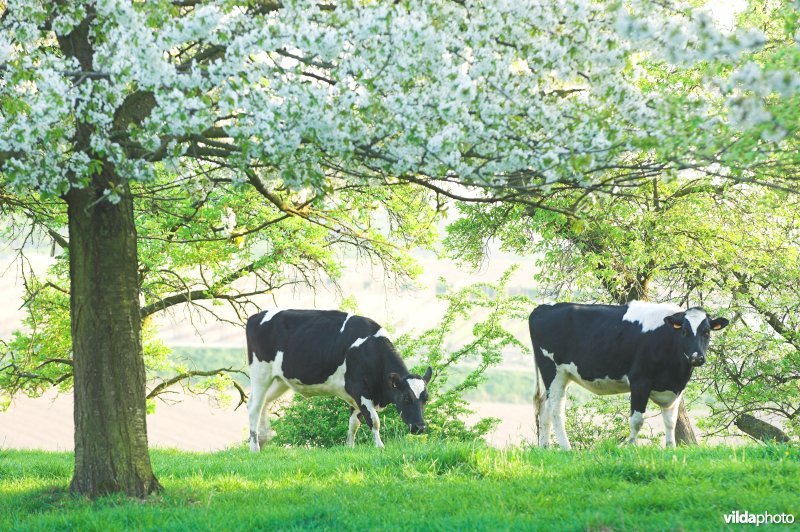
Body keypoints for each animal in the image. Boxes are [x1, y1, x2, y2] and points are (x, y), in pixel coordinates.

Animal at [245, 310, 432, 450]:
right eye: (406, 398)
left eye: (426, 399)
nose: (420, 427)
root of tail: (256, 316)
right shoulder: (360, 390)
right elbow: (374, 420)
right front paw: (380, 446)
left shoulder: (355, 395)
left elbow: (353, 424)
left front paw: (350, 447)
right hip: (260, 372)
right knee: (254, 407)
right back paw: (255, 448)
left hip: (279, 380)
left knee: (264, 403)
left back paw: (263, 439)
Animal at [528, 302, 728, 446]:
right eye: (685, 331)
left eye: (707, 332)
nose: (696, 357)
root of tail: (543, 307)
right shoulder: (640, 381)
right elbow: (637, 420)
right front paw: (630, 447)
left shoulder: (675, 389)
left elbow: (671, 421)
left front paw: (671, 449)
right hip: (553, 371)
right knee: (556, 411)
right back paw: (566, 448)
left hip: (559, 376)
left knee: (544, 408)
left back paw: (544, 448)